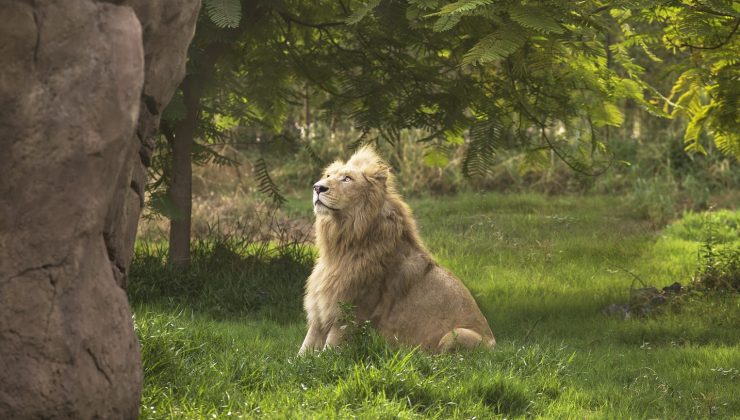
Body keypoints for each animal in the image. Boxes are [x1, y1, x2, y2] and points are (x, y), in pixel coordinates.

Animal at [298, 146, 496, 355]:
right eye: (328, 175)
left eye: (347, 179)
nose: (317, 187)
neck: (341, 245)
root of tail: (494, 343)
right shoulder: (320, 312)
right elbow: (301, 353)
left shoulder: (348, 315)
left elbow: (327, 354)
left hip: (454, 335)